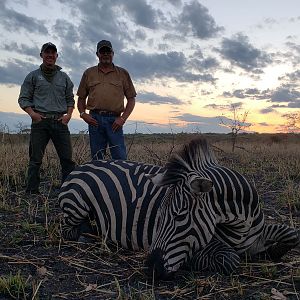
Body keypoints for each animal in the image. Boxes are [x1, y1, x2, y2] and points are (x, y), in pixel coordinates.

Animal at [58, 139, 298, 280]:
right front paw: (192, 262)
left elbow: (292, 234)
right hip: (76, 205)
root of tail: (84, 164)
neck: (241, 225)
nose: (152, 268)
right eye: (159, 216)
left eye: (180, 216)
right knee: (70, 230)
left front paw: (272, 251)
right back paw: (88, 236)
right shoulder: (208, 243)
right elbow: (229, 259)